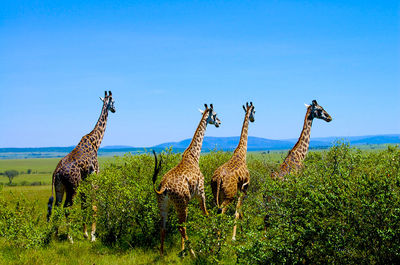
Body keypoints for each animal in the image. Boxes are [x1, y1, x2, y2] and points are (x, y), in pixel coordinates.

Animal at [47, 90, 115, 241]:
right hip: (72, 187)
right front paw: (93, 235)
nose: (114, 109)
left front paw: (85, 233)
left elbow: (84, 205)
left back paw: (55, 235)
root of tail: (56, 172)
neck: (95, 142)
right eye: (113, 101)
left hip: (60, 187)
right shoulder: (94, 176)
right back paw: (70, 238)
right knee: (67, 207)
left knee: (57, 206)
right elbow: (94, 206)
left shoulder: (84, 181)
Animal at [152, 102, 222, 254]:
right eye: (215, 115)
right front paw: (216, 237)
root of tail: (163, 187)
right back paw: (193, 254)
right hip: (182, 203)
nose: (219, 122)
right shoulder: (201, 192)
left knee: (163, 227)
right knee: (181, 227)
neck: (194, 156)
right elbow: (206, 213)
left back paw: (162, 254)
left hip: (164, 205)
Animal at [211, 100, 255, 239]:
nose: (253, 119)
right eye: (254, 111)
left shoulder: (240, 188)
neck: (242, 153)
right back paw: (219, 239)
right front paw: (235, 236)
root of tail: (219, 178)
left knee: (216, 211)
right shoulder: (245, 186)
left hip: (216, 194)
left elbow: (238, 210)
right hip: (229, 195)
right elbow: (237, 210)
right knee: (222, 211)